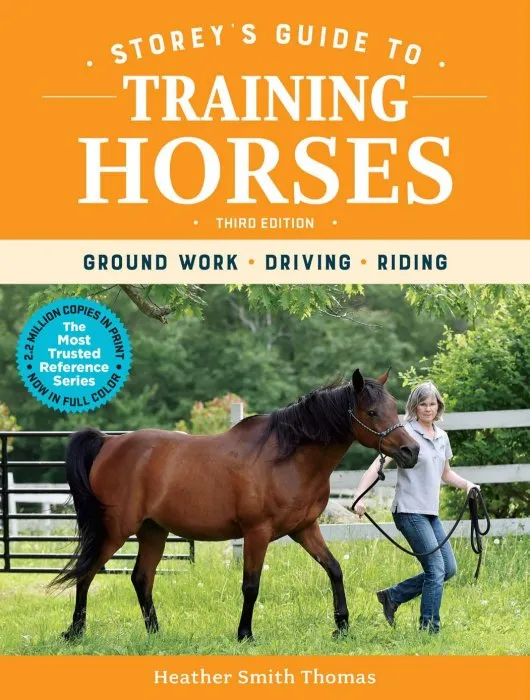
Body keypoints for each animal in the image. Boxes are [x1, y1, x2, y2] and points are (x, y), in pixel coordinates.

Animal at [54, 368, 419, 641]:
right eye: (372, 412)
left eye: (394, 408)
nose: (411, 451)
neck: (287, 457)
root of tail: (108, 443)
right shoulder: (257, 533)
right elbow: (251, 585)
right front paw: (245, 634)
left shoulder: (304, 529)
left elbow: (334, 569)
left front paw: (342, 626)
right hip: (115, 531)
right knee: (86, 572)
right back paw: (75, 631)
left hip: (153, 531)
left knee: (141, 578)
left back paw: (155, 633)